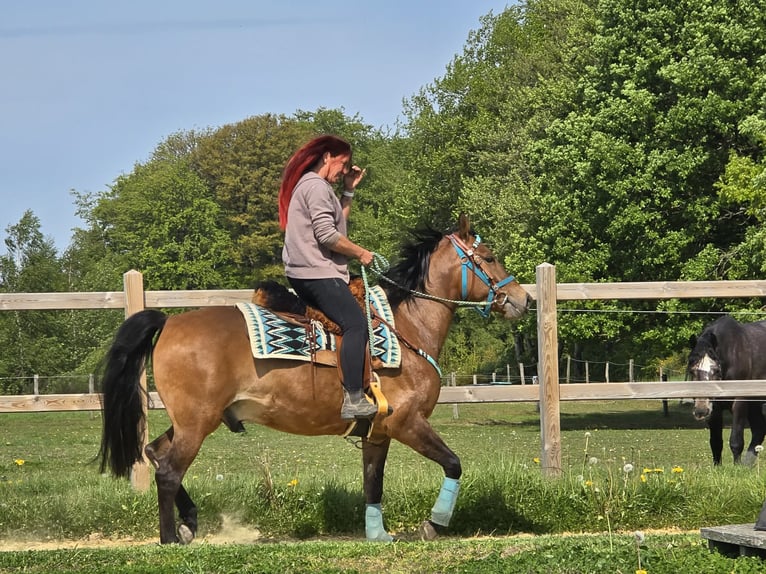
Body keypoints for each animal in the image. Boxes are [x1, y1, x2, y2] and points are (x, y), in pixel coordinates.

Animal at [98, 214, 531, 544]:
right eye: (489, 257)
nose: (522, 300)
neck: (407, 327)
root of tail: (169, 322)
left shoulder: (377, 433)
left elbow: (373, 484)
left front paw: (378, 534)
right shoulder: (408, 423)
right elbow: (454, 464)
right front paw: (433, 524)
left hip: (194, 420)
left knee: (155, 452)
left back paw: (188, 523)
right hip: (196, 422)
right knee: (169, 470)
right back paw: (170, 536)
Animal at [686, 315, 766, 465]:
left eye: (716, 370)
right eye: (692, 371)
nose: (701, 410)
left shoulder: (739, 402)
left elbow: (736, 441)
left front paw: (737, 467)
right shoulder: (715, 408)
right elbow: (716, 442)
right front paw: (718, 467)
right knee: (759, 430)